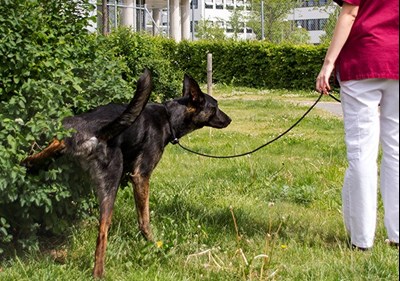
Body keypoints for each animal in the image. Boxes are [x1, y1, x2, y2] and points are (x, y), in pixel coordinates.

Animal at [21, 69, 233, 276]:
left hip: (67, 133)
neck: (169, 117)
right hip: (112, 180)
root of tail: (97, 133)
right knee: (102, 231)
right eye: (215, 107)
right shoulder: (141, 176)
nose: (230, 120)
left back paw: (28, 162)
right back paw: (98, 272)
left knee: (54, 145)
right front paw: (153, 244)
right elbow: (144, 218)